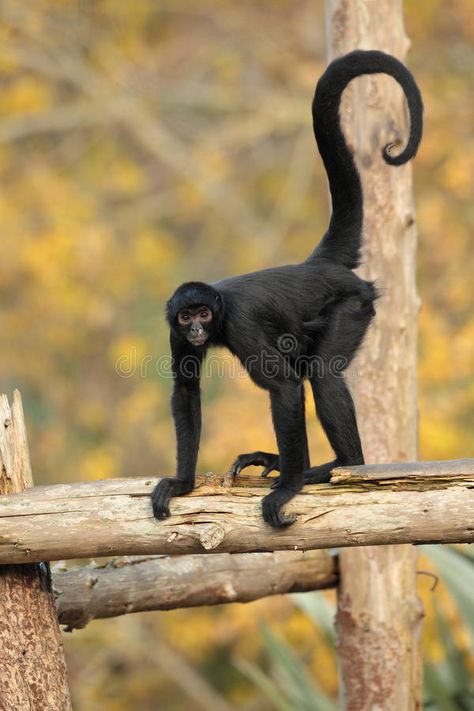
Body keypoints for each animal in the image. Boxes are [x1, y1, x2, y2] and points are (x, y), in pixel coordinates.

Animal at [151, 50, 422, 528]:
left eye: (205, 314)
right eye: (186, 316)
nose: (198, 329)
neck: (220, 311)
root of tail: (317, 265)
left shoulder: (239, 323)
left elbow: (285, 387)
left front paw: (288, 490)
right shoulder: (173, 331)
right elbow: (185, 391)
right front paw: (183, 483)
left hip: (353, 304)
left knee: (322, 373)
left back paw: (337, 465)